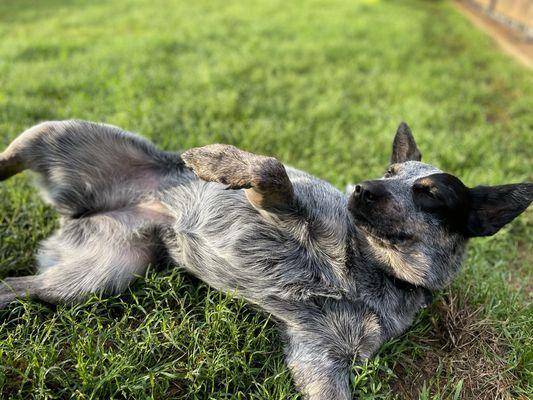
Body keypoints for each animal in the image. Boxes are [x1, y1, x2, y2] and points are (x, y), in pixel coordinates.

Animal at [0, 120, 528, 398]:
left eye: (432, 194)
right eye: (389, 170)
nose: (361, 188)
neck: (368, 270)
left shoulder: (320, 357)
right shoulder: (291, 206)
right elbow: (271, 169)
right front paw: (219, 161)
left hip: (94, 277)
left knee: (17, 287)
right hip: (60, 135)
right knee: (13, 153)